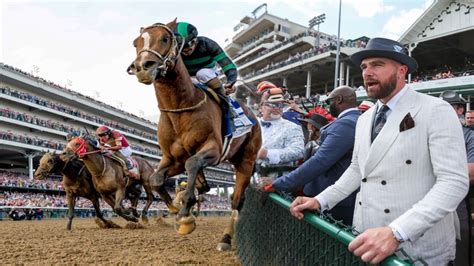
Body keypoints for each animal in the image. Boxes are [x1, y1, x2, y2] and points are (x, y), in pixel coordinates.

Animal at [126, 19, 262, 250]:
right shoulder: (172, 158)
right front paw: (175, 209)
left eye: (165, 38)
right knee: (207, 185)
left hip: (246, 160)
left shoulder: (213, 149)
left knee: (235, 200)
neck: (180, 108)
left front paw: (185, 216)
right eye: (136, 42)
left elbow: (192, 163)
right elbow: (156, 179)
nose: (143, 67)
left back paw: (225, 239)